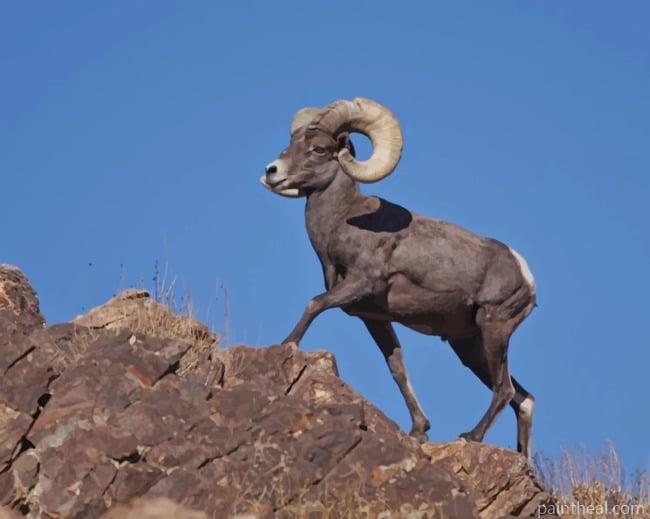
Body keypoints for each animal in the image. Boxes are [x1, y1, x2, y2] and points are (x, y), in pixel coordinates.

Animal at [260, 98, 537, 458]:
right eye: (291, 144)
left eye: (319, 149)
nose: (272, 171)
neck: (343, 220)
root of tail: (525, 275)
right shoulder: (374, 318)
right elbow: (397, 368)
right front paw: (419, 431)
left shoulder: (360, 283)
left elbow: (314, 304)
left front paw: (286, 344)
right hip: (468, 345)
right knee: (523, 398)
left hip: (493, 329)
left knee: (504, 390)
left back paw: (471, 436)